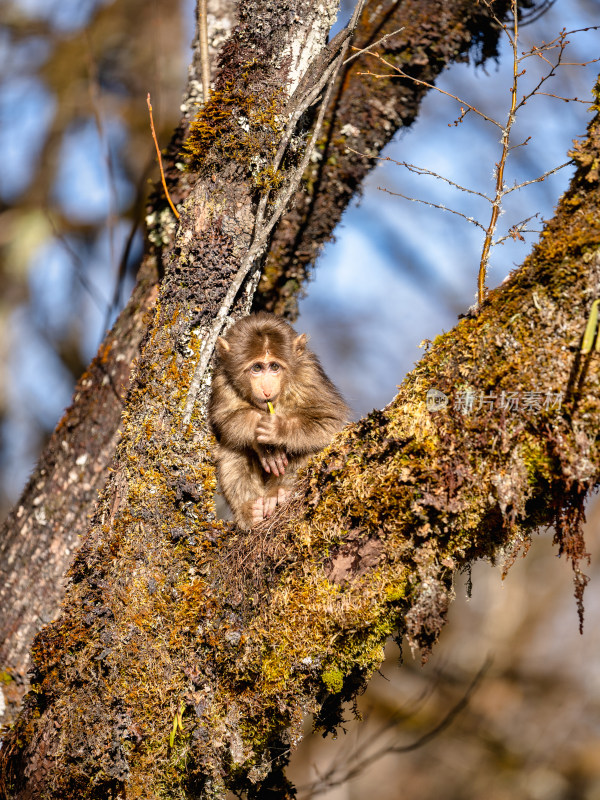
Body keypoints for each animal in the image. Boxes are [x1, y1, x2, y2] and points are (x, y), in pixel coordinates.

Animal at [209, 314, 346, 532]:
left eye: (274, 367)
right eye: (257, 368)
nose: (266, 389)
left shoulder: (308, 375)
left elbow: (329, 421)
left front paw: (277, 430)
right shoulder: (221, 379)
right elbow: (225, 419)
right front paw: (263, 441)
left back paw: (279, 492)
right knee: (233, 448)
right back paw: (251, 510)